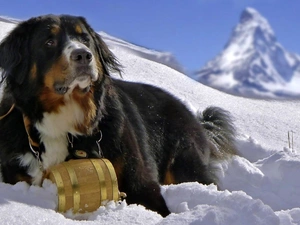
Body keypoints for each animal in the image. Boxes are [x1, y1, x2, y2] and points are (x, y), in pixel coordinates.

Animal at [0, 14, 238, 216]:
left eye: (85, 39)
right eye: (49, 42)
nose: (83, 55)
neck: (66, 119)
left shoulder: (140, 181)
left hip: (184, 164)